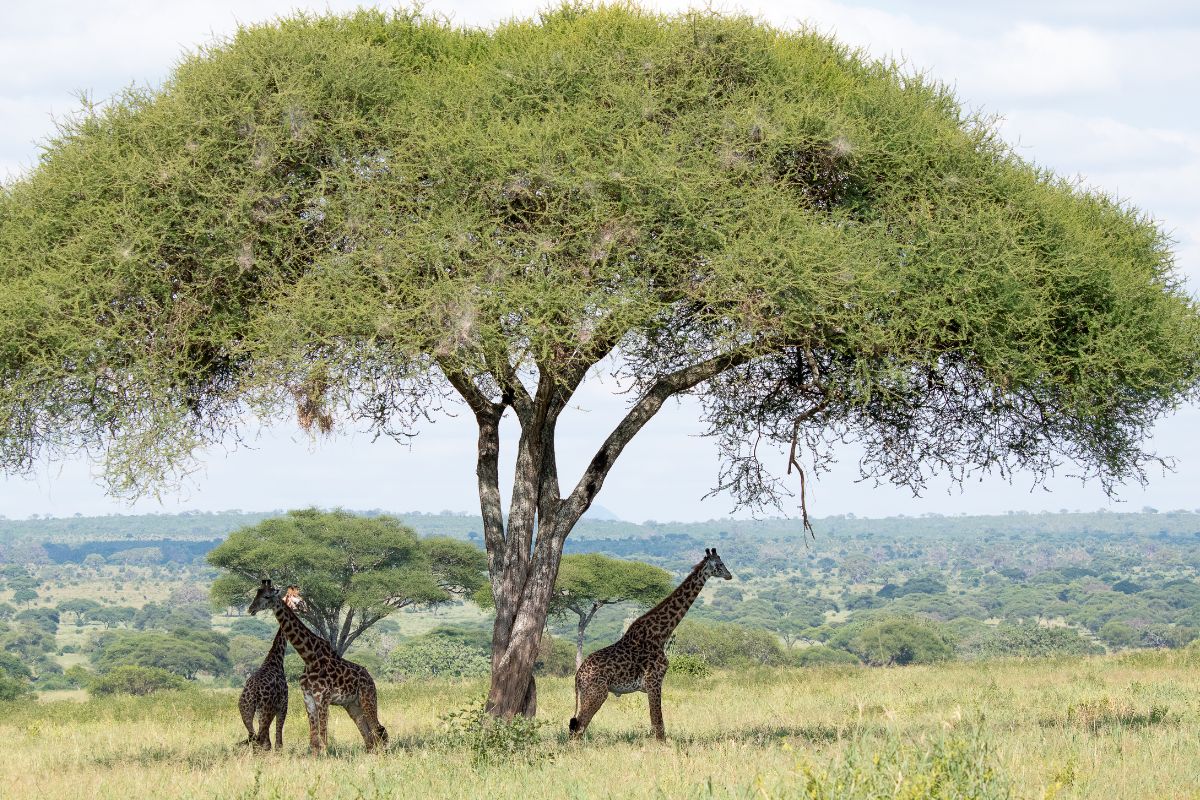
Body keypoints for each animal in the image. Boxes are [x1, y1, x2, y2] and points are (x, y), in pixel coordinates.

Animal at [236, 582, 304, 753]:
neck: (275, 660)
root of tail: (252, 694)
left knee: (254, 738)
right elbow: (278, 742)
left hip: (246, 712)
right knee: (261, 740)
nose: (251, 609)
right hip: (265, 711)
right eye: (297, 598)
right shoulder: (283, 705)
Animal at [247, 578, 386, 753]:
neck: (309, 657)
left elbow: (323, 737)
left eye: (266, 596)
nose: (250, 609)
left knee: (378, 729)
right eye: (257, 593)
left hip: (367, 698)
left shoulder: (323, 698)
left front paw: (325, 756)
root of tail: (370, 678)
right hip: (352, 705)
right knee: (367, 734)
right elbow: (314, 739)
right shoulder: (308, 698)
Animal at [568, 546, 729, 743]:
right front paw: (662, 746)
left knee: (576, 726)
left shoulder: (652, 684)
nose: (729, 575)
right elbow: (658, 723)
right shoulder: (654, 681)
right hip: (597, 693)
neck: (661, 634)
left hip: (588, 694)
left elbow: (655, 722)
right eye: (720, 564)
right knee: (578, 727)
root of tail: (578, 676)